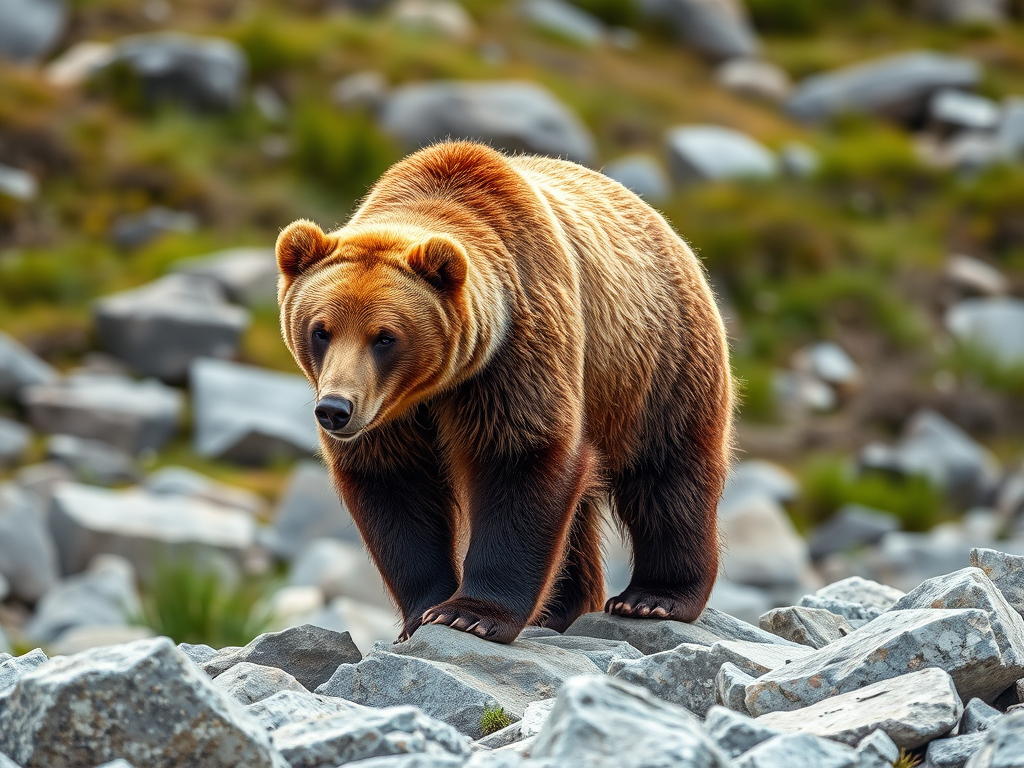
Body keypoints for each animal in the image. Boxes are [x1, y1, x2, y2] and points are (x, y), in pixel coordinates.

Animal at [276, 141, 733, 644]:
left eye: (385, 337)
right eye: (321, 330)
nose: (335, 409)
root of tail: (668, 228)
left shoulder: (516, 352)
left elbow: (519, 457)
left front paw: (469, 614)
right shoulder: (391, 416)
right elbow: (394, 485)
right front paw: (421, 613)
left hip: (655, 361)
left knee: (668, 473)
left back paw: (652, 597)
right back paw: (563, 608)